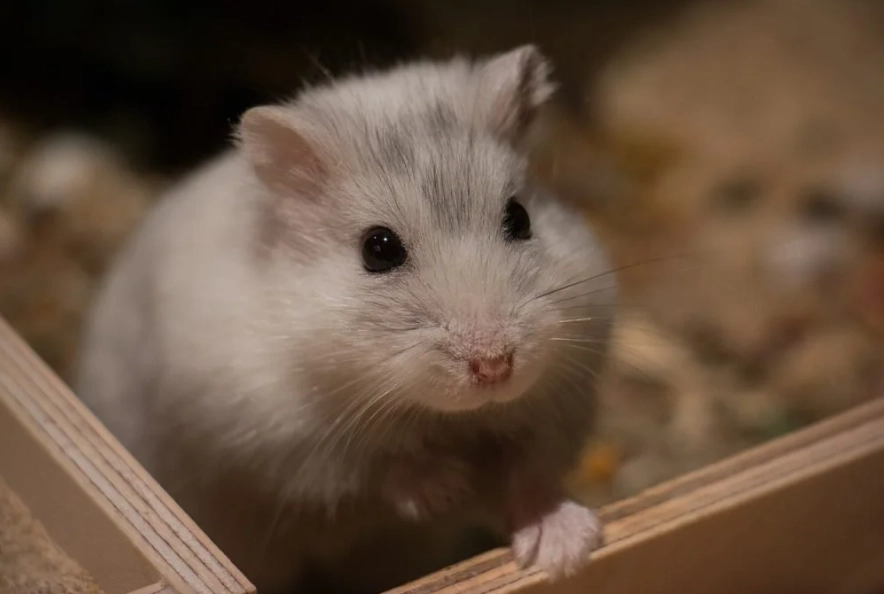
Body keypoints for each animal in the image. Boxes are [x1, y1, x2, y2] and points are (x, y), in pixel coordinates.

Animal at [74, 45, 616, 594]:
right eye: (378, 249)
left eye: (520, 218)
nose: (495, 367)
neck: (444, 416)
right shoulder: (287, 444)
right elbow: (375, 467)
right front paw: (444, 487)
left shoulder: (556, 405)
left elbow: (529, 475)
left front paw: (565, 551)